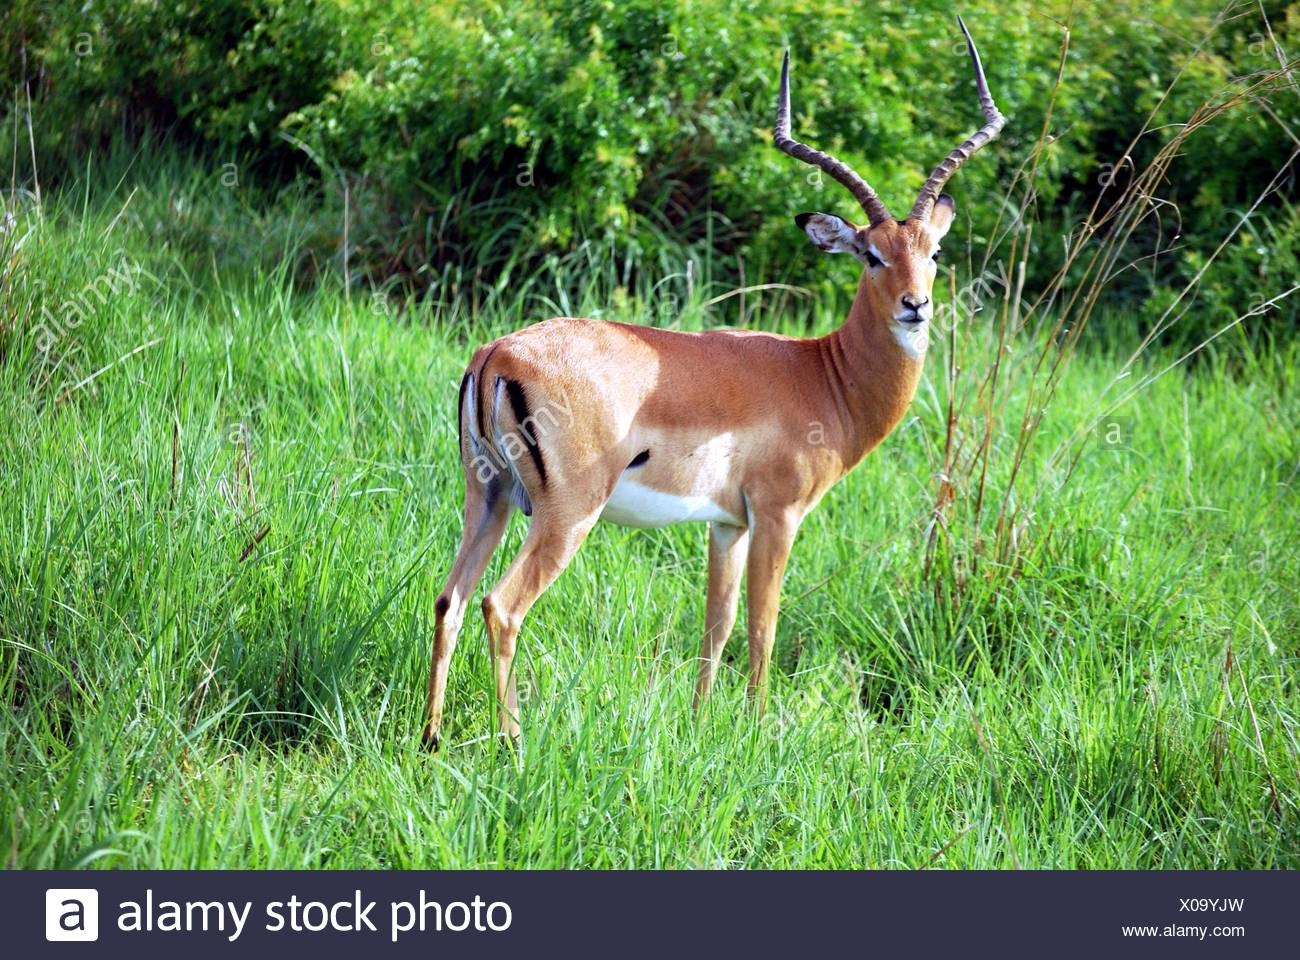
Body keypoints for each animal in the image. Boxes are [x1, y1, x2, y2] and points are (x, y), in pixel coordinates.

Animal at [422, 16, 1005, 748]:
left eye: (933, 251)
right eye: (872, 255)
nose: (915, 305)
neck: (823, 374)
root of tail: (497, 353)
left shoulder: (727, 523)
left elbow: (716, 624)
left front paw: (701, 724)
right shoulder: (778, 513)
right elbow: (763, 624)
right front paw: (757, 729)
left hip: (489, 498)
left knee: (449, 599)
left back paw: (431, 737)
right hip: (567, 513)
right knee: (501, 606)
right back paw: (514, 741)